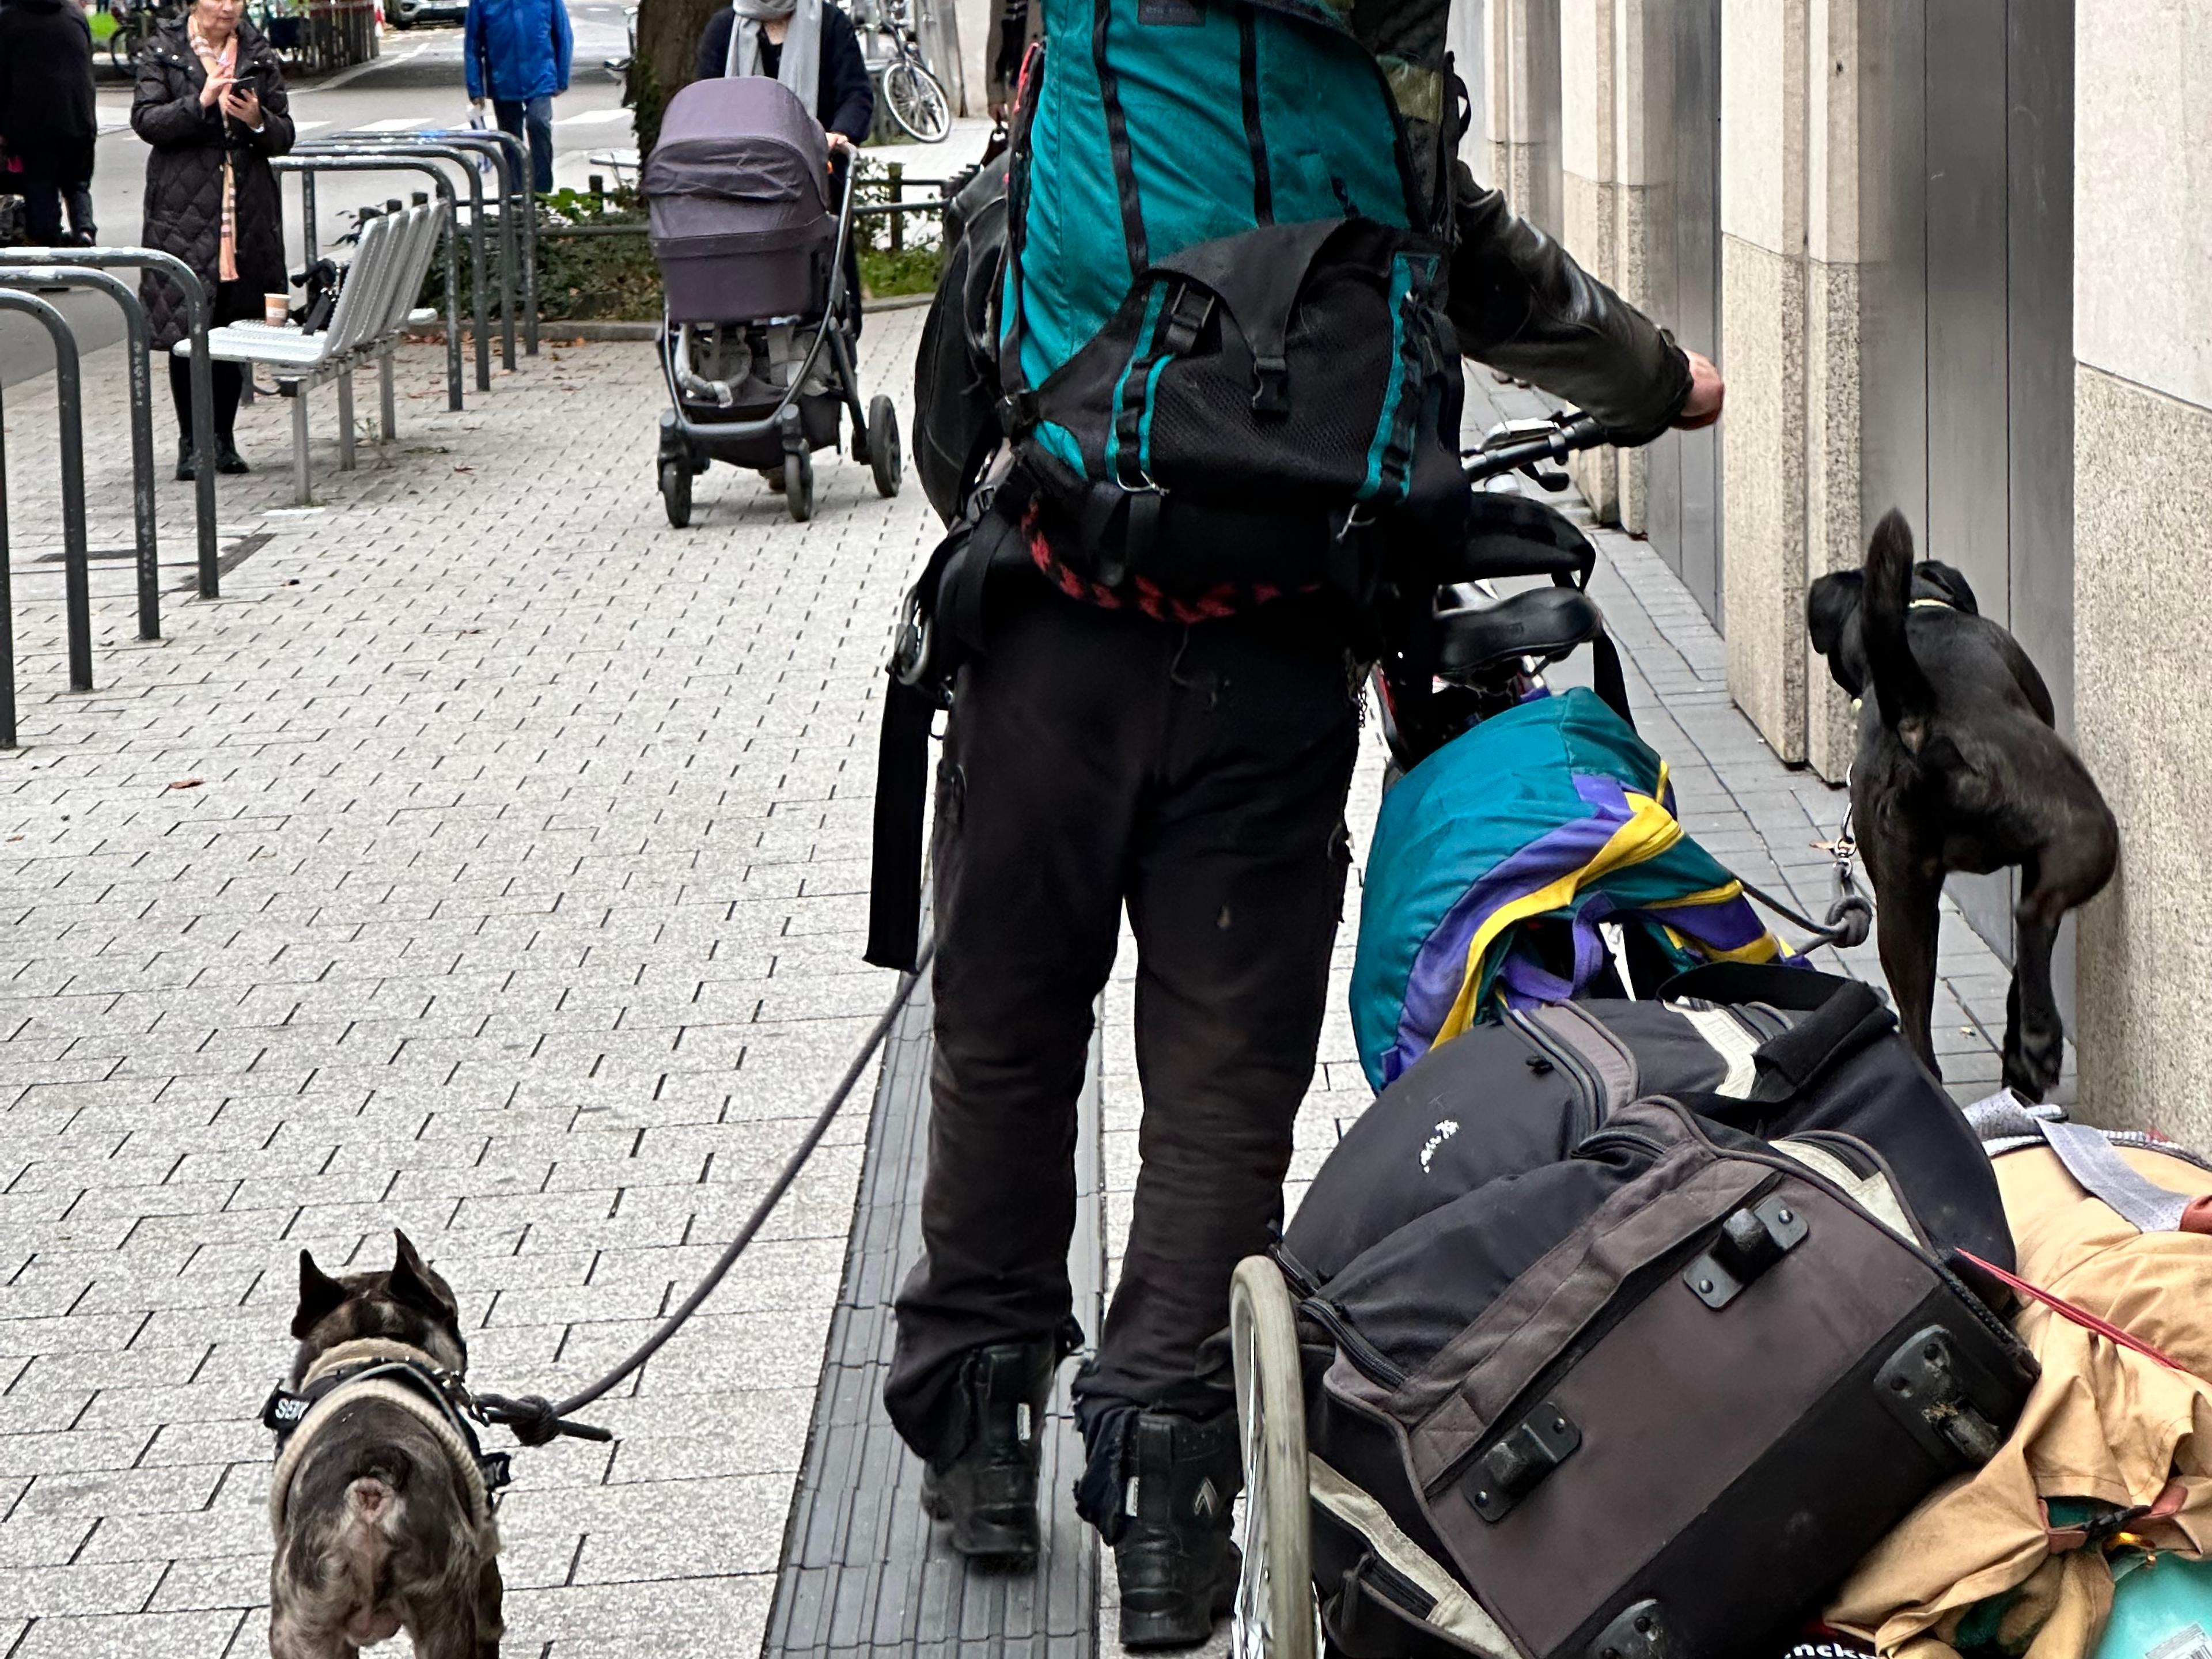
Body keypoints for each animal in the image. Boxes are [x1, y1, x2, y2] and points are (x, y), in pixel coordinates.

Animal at [1805, 506, 2115, 1106]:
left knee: (1917, 1024)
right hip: (2086, 829)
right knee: (2034, 916)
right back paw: (2039, 1041)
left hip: (1901, 906)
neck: (1918, 616)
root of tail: (1918, 717)